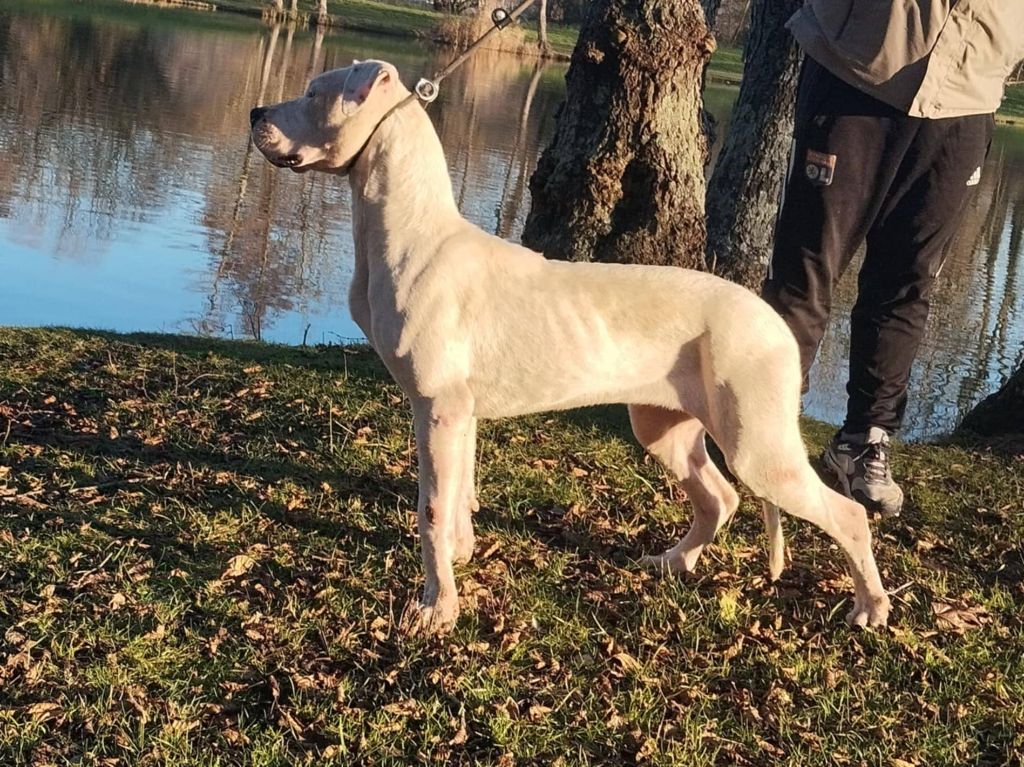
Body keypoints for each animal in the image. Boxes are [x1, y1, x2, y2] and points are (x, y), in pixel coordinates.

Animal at [250, 60, 890, 636]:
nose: (257, 113)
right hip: (666, 427)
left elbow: (431, 511)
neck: (409, 232)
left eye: (314, 93)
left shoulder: (435, 410)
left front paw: (436, 610)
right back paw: (672, 562)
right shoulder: (458, 417)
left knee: (848, 514)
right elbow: (457, 498)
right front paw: (461, 557)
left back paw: (870, 608)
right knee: (719, 499)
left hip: (757, 445)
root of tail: (773, 322)